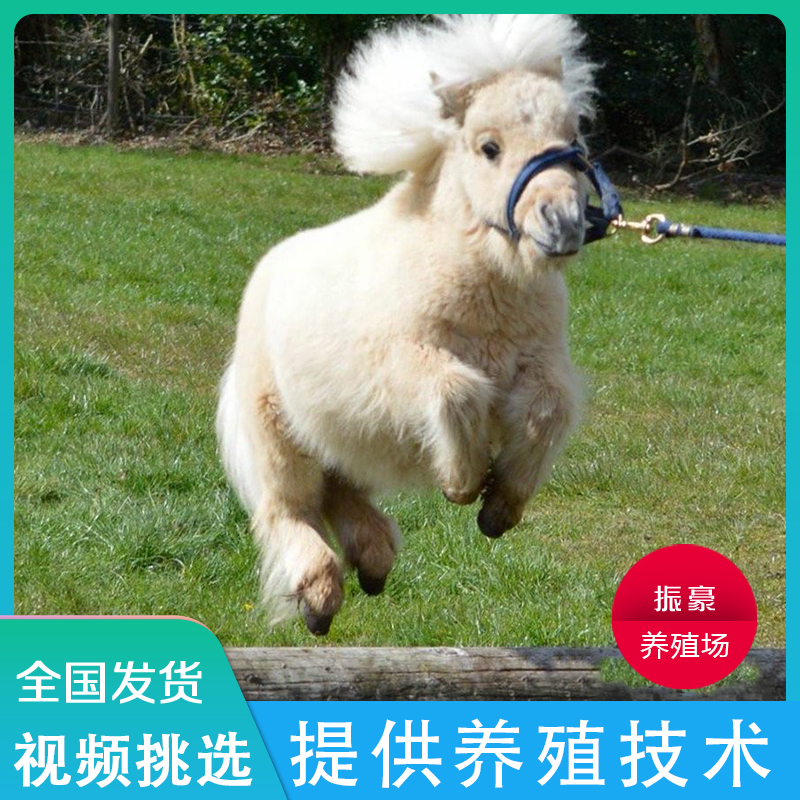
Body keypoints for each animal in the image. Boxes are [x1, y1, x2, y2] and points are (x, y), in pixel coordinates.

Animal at [217, 14, 598, 634]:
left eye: (575, 142)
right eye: (489, 147)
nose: (562, 224)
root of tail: (267, 271)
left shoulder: (541, 364)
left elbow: (547, 410)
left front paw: (499, 509)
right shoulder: (400, 368)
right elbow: (457, 390)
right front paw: (462, 484)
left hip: (334, 432)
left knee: (339, 489)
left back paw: (372, 565)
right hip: (275, 427)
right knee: (288, 507)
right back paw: (319, 599)